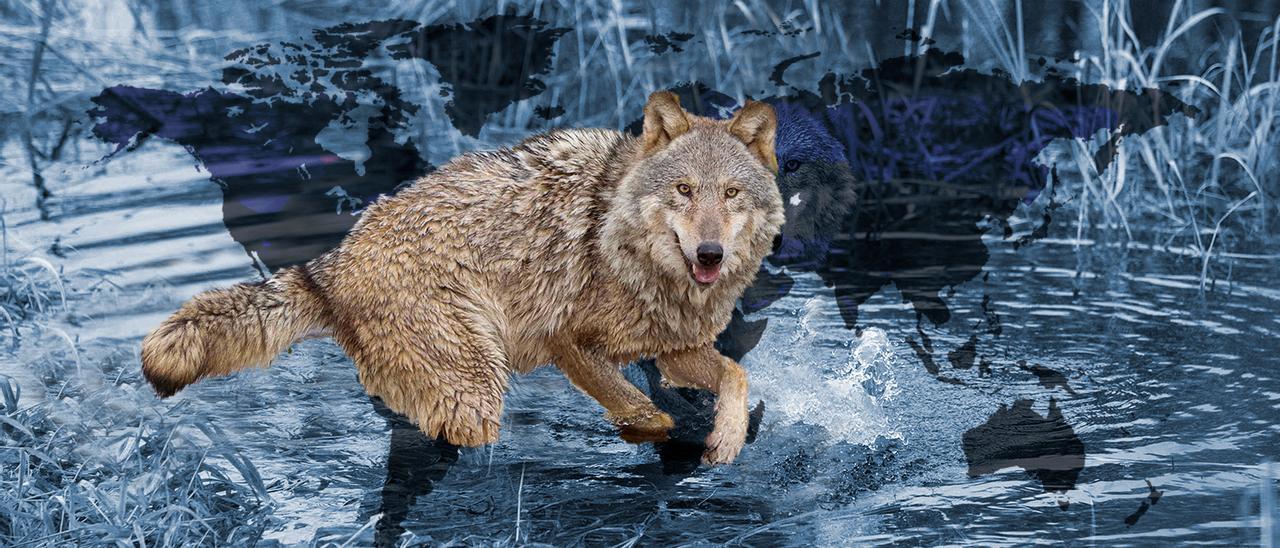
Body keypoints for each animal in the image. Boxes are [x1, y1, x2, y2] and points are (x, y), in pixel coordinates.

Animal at [140, 91, 784, 464]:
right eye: (684, 190)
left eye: (730, 194)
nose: (709, 254)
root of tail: (334, 263)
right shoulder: (566, 342)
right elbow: (641, 406)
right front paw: (649, 431)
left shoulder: (674, 350)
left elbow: (735, 375)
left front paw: (725, 442)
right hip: (476, 386)